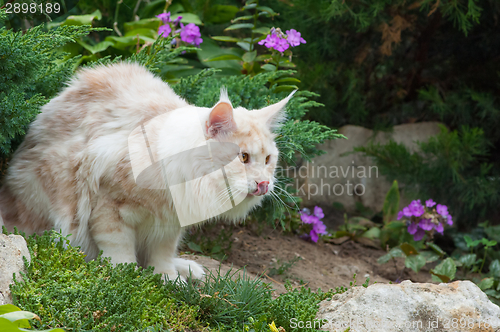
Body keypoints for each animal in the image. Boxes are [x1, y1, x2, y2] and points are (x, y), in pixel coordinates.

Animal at [0, 61, 292, 280]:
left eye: (268, 159)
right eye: (243, 157)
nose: (264, 184)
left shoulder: (169, 223)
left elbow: (161, 255)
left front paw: (167, 278)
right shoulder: (109, 209)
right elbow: (120, 251)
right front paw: (128, 279)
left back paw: (187, 269)